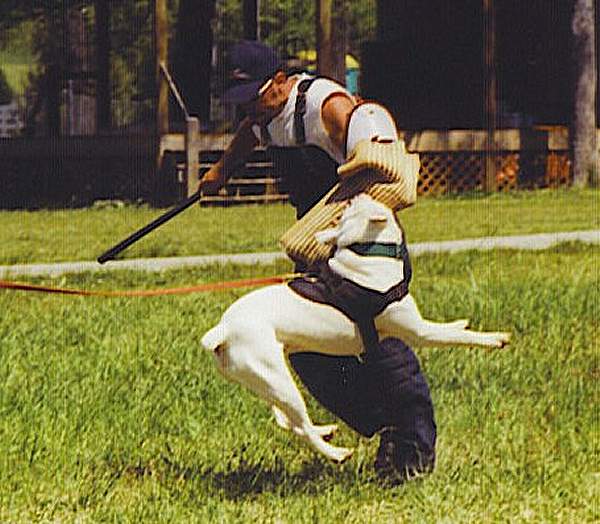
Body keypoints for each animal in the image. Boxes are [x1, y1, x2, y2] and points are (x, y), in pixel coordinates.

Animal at [203, 195, 510, 462]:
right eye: (346, 212)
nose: (352, 196)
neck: (367, 252)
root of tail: (223, 331)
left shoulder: (420, 325)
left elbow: (450, 326)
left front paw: (462, 321)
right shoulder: (419, 332)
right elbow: (456, 336)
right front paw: (495, 338)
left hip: (266, 379)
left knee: (285, 420)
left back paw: (324, 430)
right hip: (276, 379)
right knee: (298, 426)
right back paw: (336, 453)